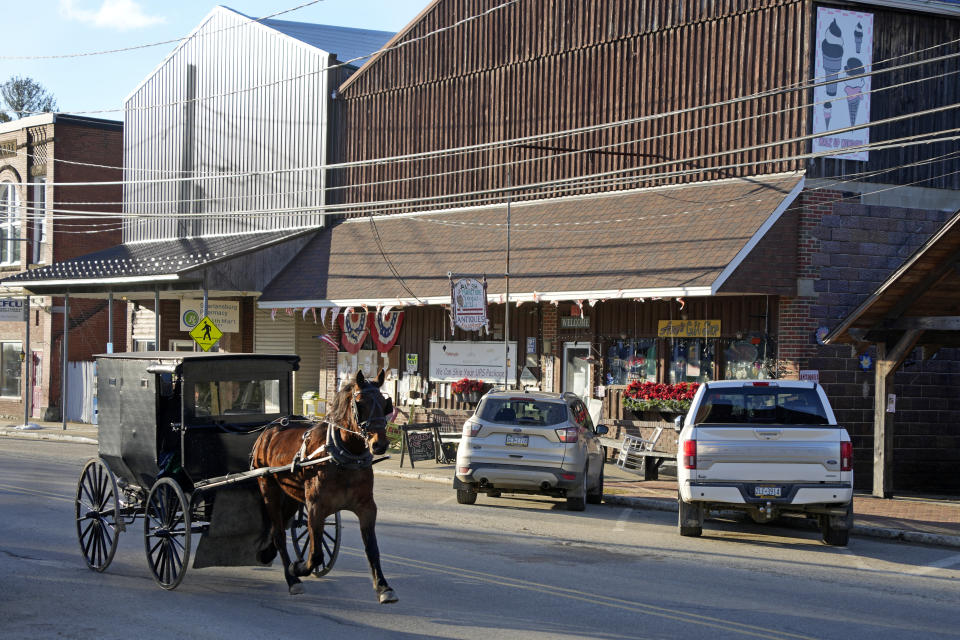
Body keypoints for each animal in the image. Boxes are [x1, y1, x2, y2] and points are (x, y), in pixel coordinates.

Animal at [251, 368, 398, 604]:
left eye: (385, 403)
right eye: (360, 404)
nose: (380, 444)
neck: (344, 455)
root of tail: (269, 429)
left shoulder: (367, 507)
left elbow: (372, 549)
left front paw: (383, 586)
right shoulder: (315, 507)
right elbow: (316, 553)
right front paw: (297, 568)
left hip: (290, 497)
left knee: (279, 527)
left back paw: (268, 554)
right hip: (268, 487)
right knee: (279, 533)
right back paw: (292, 579)